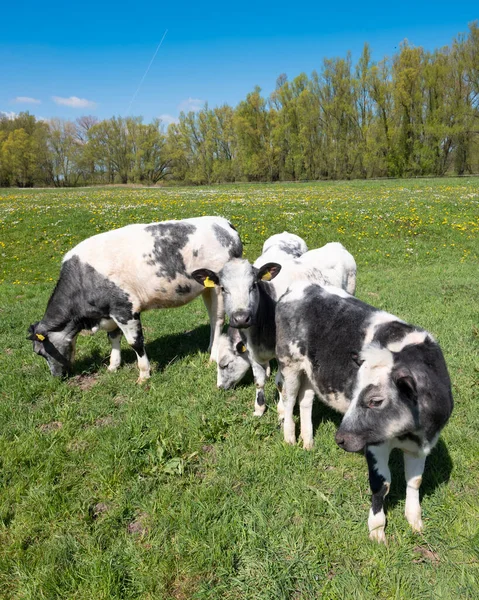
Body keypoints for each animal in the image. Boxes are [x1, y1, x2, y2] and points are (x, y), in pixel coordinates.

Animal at [28, 216, 242, 380]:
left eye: (40, 352)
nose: (57, 377)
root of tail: (223, 222)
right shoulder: (110, 311)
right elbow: (113, 337)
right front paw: (113, 366)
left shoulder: (125, 309)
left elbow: (135, 343)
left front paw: (144, 375)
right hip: (206, 289)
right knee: (213, 319)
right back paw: (210, 348)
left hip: (219, 289)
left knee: (218, 319)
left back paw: (213, 356)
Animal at [274, 282, 454, 544]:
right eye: (354, 390)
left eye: (375, 401)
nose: (340, 439)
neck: (411, 432)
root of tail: (303, 286)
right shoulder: (375, 444)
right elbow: (381, 484)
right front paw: (377, 530)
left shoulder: (423, 444)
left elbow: (415, 481)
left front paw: (415, 520)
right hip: (289, 363)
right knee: (288, 401)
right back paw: (289, 438)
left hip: (310, 373)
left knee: (305, 401)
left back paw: (308, 441)